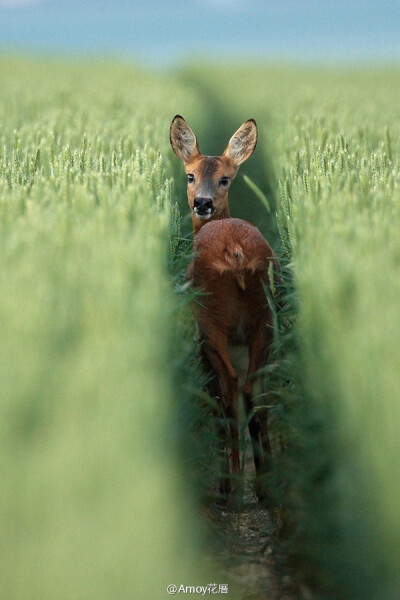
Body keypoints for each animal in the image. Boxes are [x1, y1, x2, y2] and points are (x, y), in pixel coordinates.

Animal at [170, 115, 280, 504]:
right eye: (190, 176)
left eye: (225, 179)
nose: (202, 203)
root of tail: (235, 253)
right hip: (264, 320)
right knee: (254, 389)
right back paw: (263, 485)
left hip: (210, 321)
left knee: (230, 390)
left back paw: (230, 486)